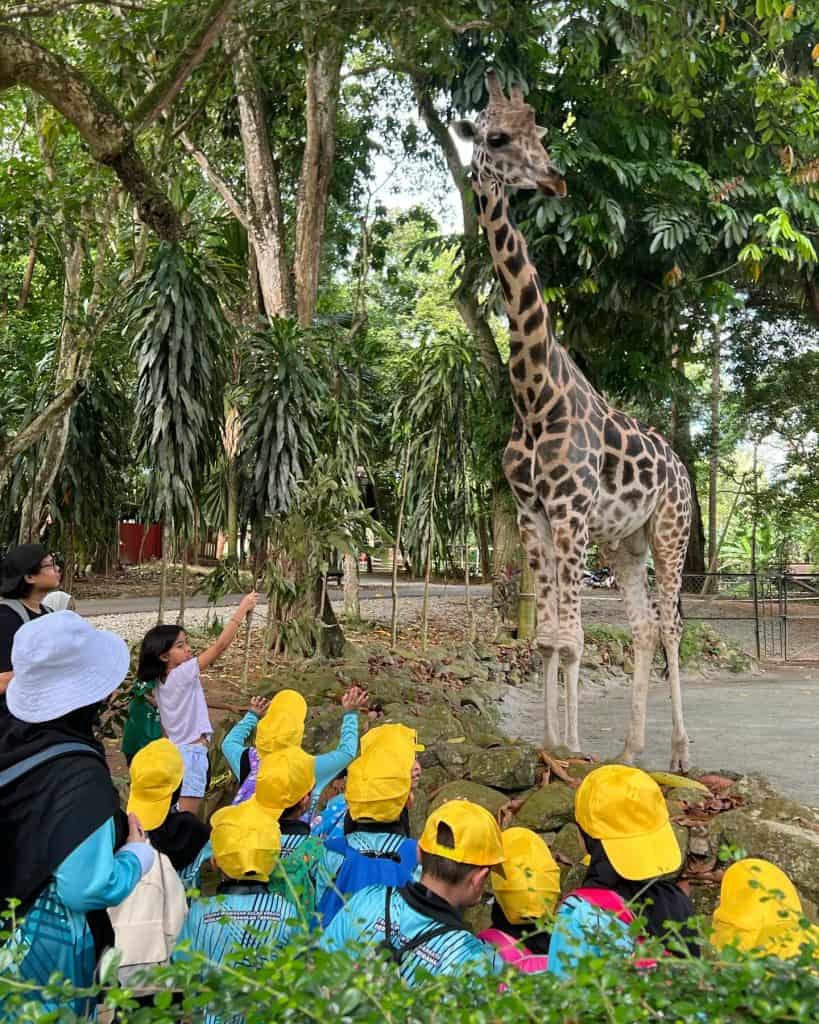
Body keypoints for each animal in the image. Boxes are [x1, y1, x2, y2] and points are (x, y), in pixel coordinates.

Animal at [450, 72, 696, 770]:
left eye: (540, 133)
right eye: (496, 138)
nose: (555, 179)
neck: (534, 396)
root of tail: (683, 470)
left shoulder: (572, 514)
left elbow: (573, 638)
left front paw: (570, 750)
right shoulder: (534, 515)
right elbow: (549, 638)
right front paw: (550, 745)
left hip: (670, 534)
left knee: (671, 626)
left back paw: (678, 753)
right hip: (625, 544)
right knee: (644, 626)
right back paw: (632, 748)